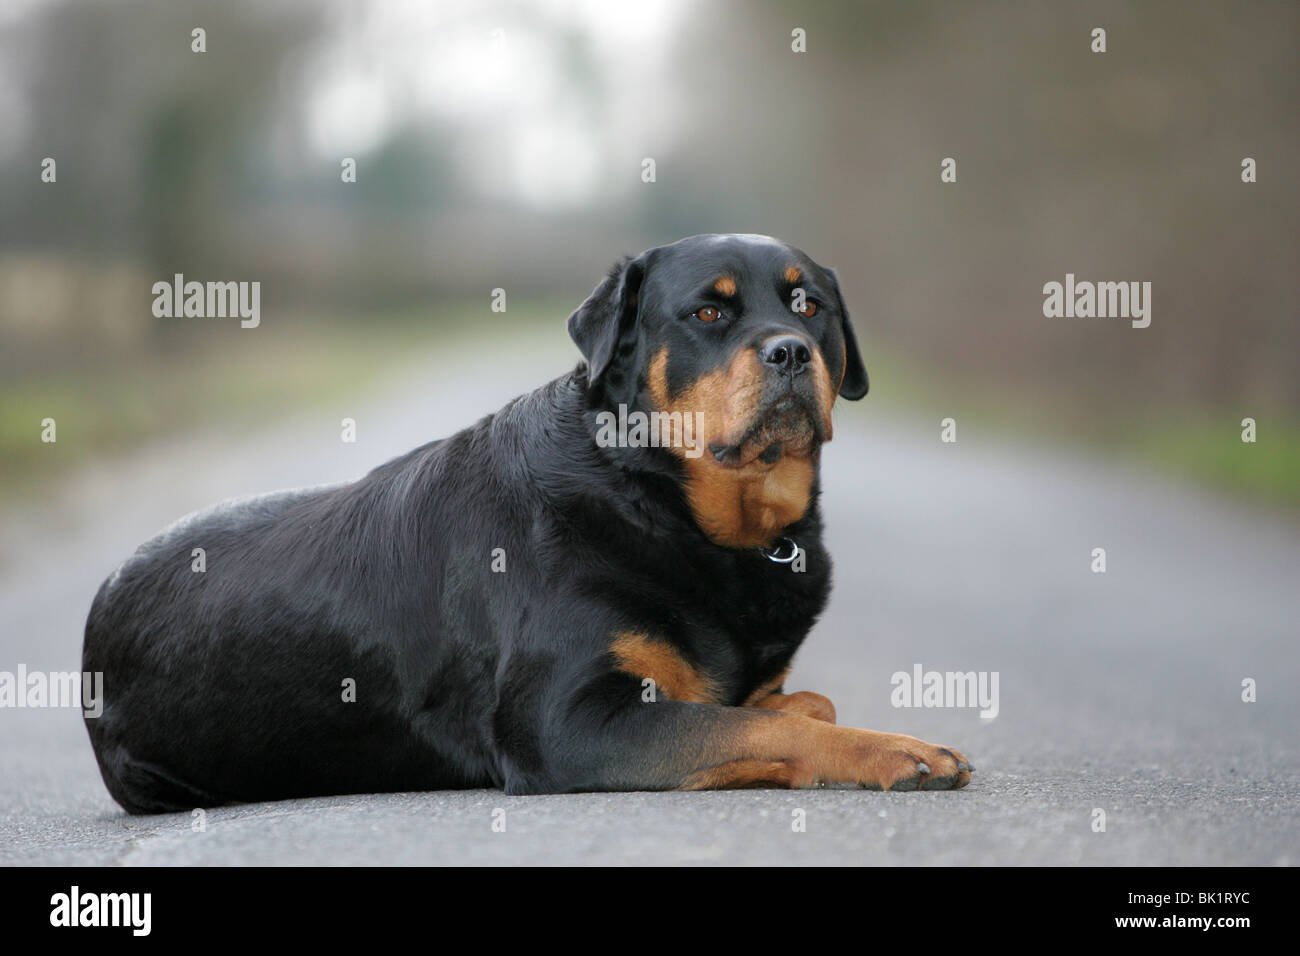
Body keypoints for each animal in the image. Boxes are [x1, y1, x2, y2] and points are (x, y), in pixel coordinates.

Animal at [83, 235, 977, 811]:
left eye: (808, 304)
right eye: (709, 315)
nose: (792, 350)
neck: (659, 499)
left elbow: (794, 705)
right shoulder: (567, 722)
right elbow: (752, 726)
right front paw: (898, 750)